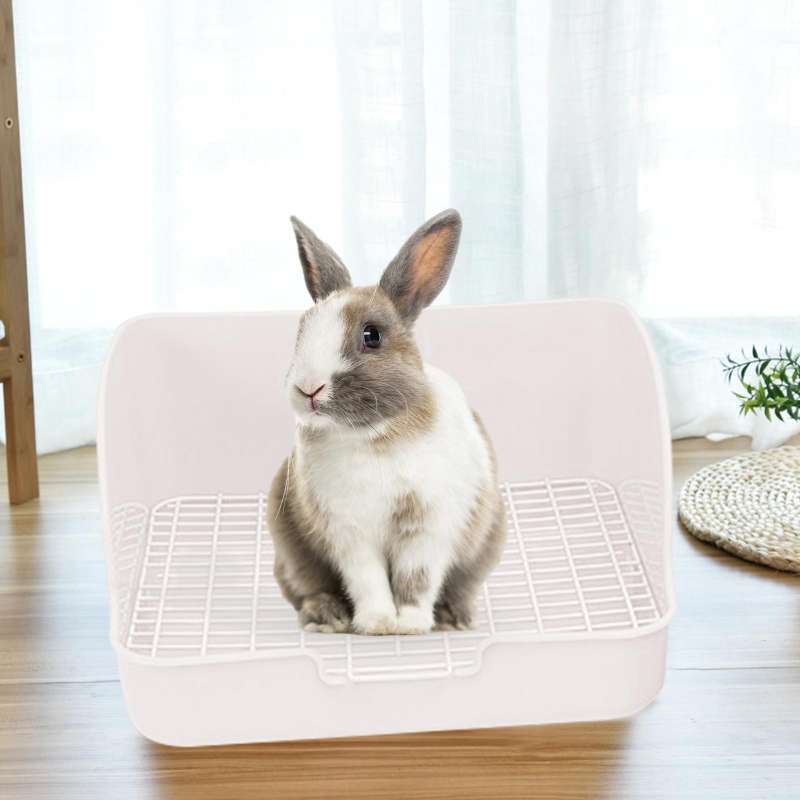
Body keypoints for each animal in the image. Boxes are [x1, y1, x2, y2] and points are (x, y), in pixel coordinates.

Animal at [267, 209, 506, 635]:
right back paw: (328, 618)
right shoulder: (350, 532)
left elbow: (417, 578)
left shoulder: (428, 527)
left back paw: (454, 619)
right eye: (301, 330)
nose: (308, 388)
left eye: (372, 335)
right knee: (308, 589)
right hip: (290, 551)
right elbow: (368, 579)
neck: (374, 436)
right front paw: (377, 623)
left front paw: (409, 624)